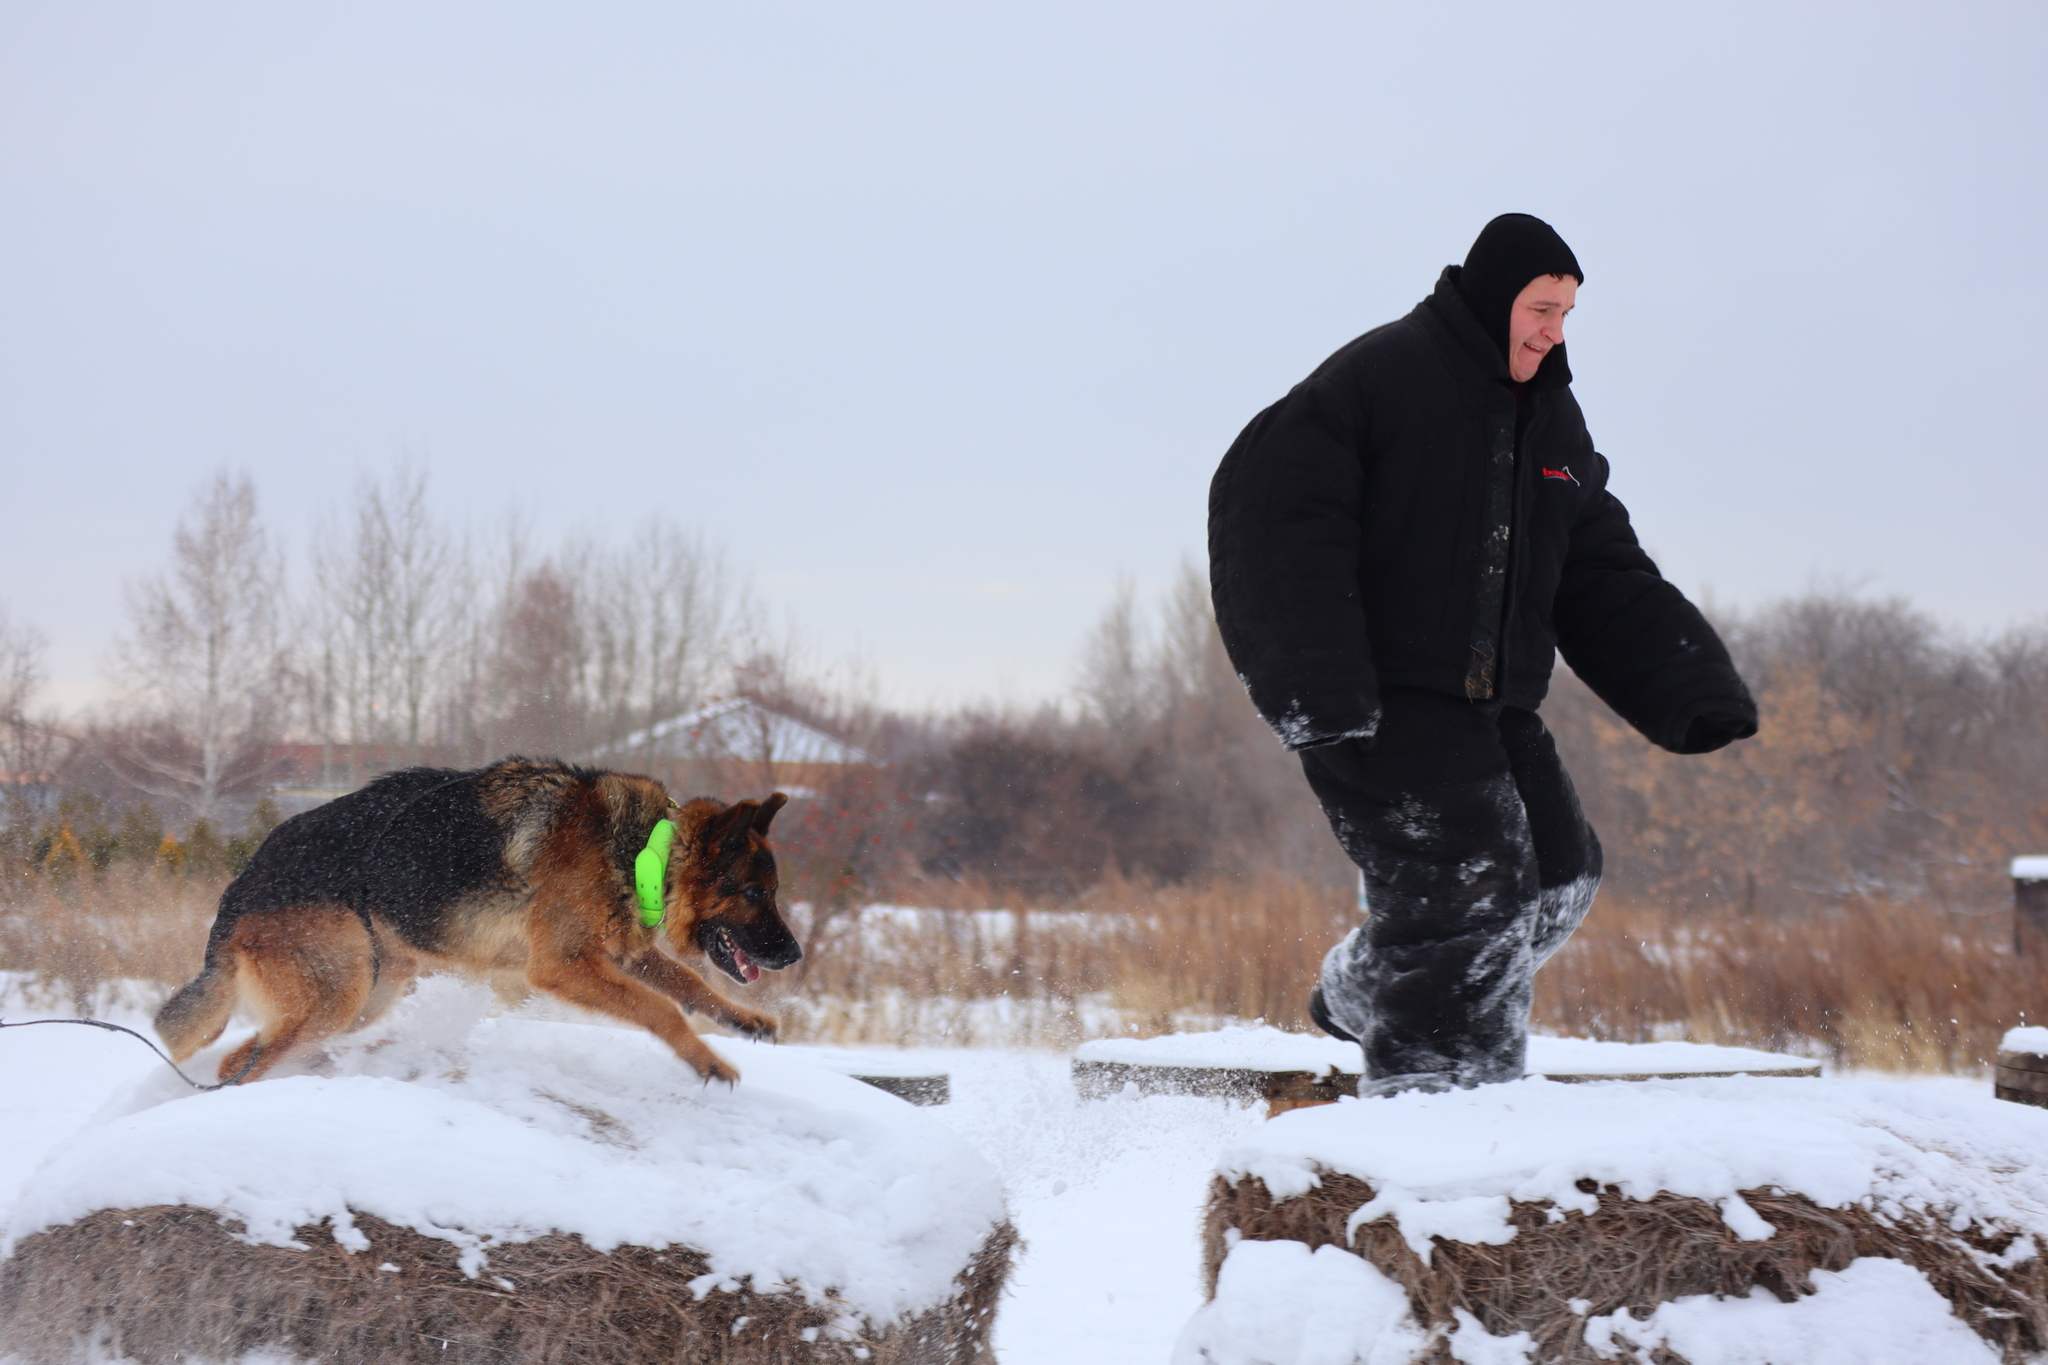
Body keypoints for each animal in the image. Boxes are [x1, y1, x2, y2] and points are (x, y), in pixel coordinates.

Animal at [151, 757, 802, 1088]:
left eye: (773, 892)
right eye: (755, 892)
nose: (794, 955)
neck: (646, 851)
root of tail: (238, 890)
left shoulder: (620, 953)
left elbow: (688, 985)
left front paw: (745, 1020)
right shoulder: (565, 966)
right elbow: (660, 1009)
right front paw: (707, 1061)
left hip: (367, 993)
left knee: (257, 1051)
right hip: (342, 991)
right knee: (239, 1063)